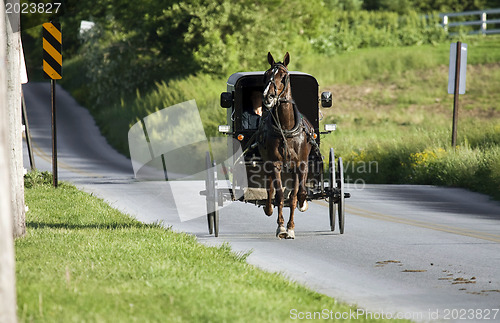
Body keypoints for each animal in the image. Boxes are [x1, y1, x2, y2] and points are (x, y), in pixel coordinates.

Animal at [260, 52, 310, 240]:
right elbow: (280, 194)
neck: (286, 128)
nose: (267, 97)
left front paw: (291, 227)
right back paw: (268, 208)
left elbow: (297, 195)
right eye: (266, 74)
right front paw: (281, 227)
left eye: (284, 76)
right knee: (270, 189)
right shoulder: (275, 163)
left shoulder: (300, 164)